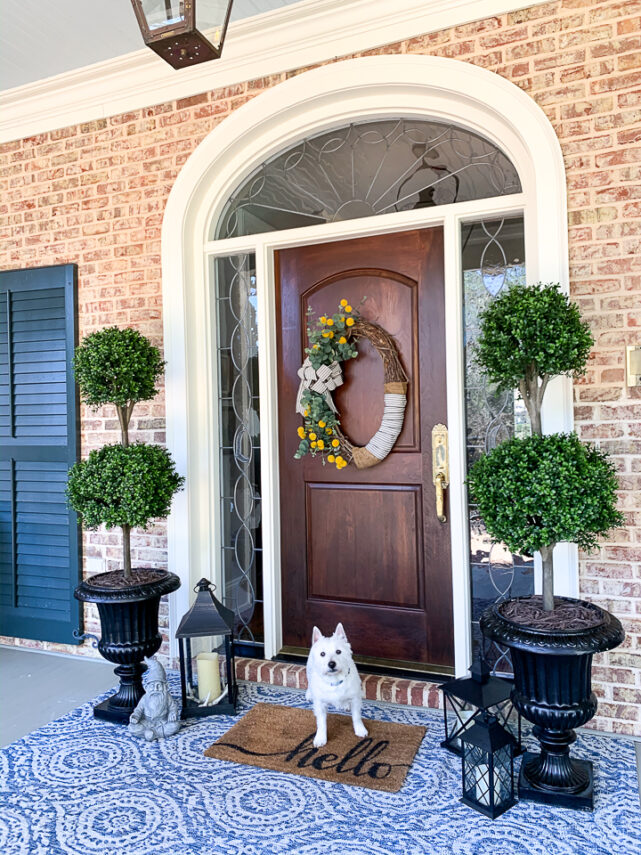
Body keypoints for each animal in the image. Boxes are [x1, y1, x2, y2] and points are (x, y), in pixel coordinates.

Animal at [306, 620, 368, 748]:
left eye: (338, 651)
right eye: (322, 654)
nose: (331, 664)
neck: (335, 680)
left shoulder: (355, 699)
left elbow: (356, 716)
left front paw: (360, 729)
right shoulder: (320, 704)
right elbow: (321, 722)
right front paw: (320, 738)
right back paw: (309, 694)